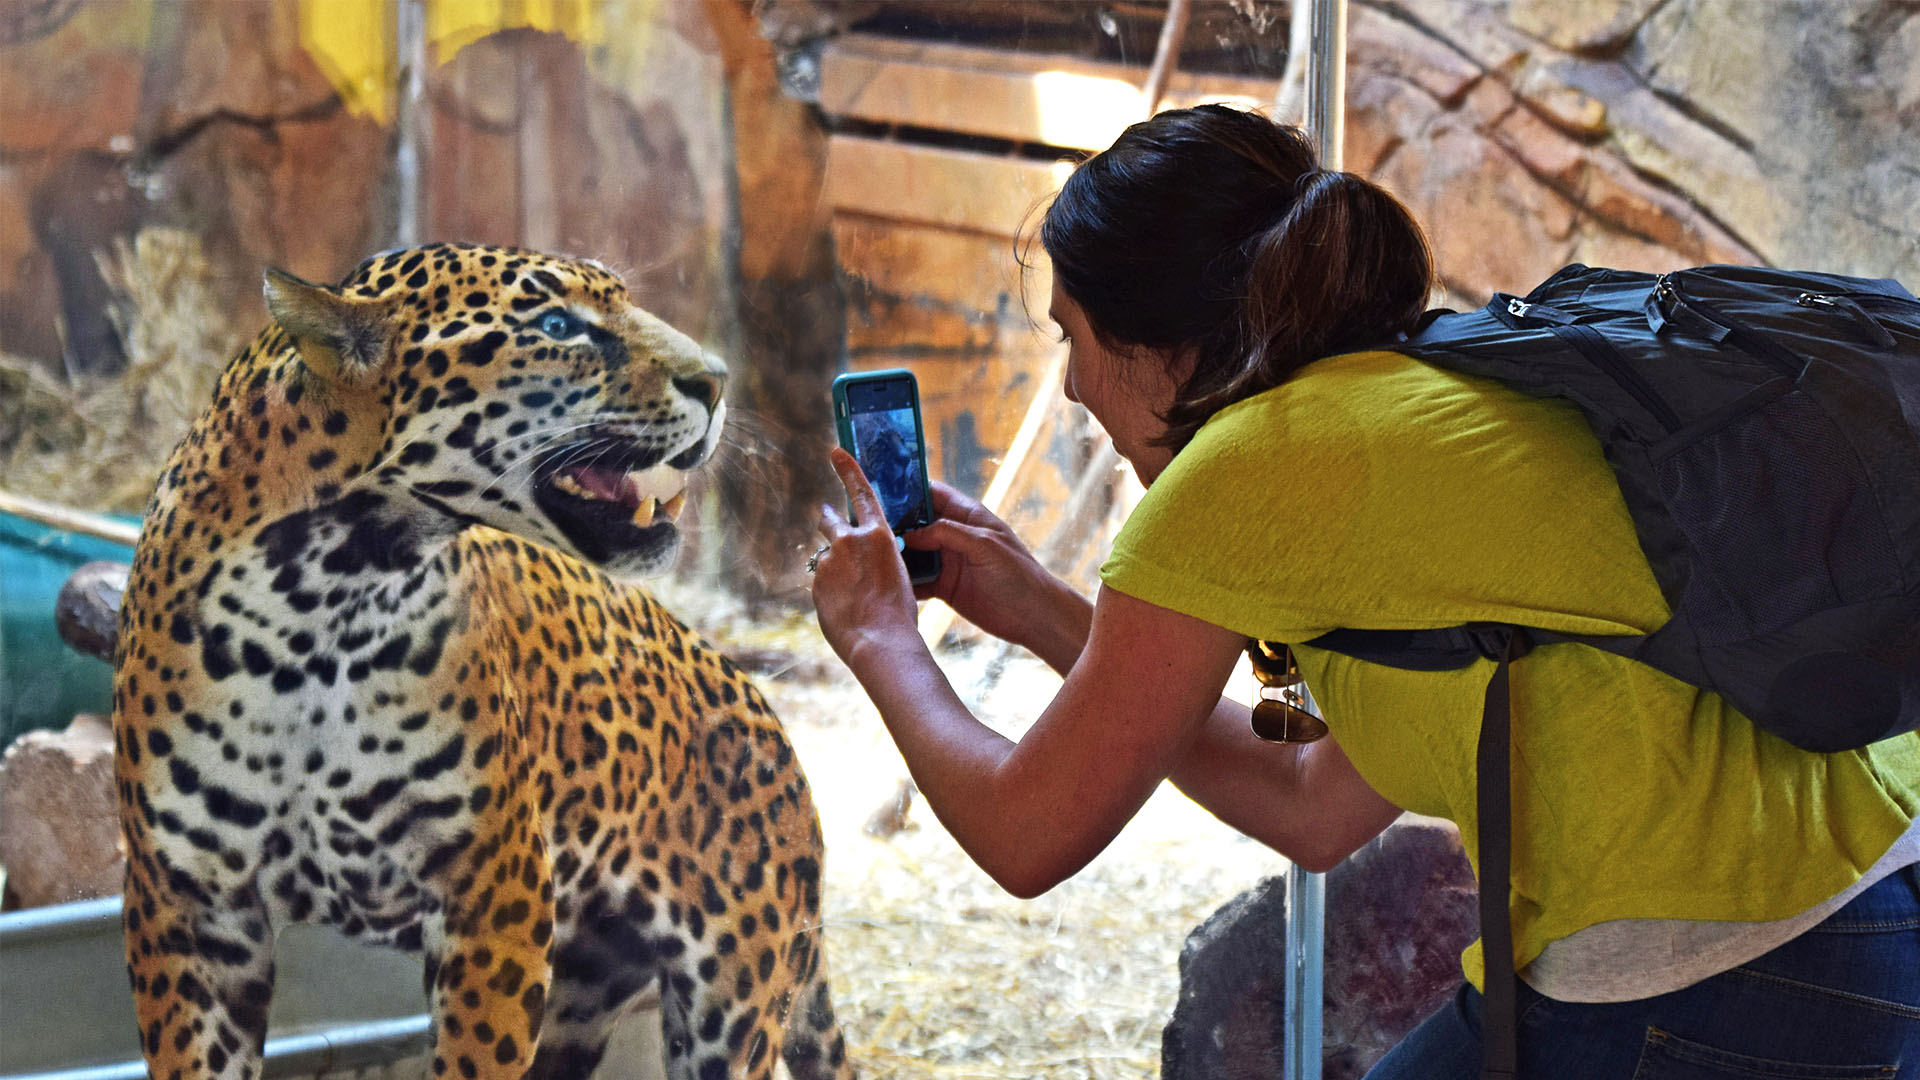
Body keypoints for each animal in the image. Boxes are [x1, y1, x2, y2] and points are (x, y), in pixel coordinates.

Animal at [110, 242, 848, 1076]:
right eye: (558, 326)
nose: (717, 380)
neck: (322, 604)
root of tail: (778, 737)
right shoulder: (188, 903)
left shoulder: (496, 888)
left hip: (728, 1004)